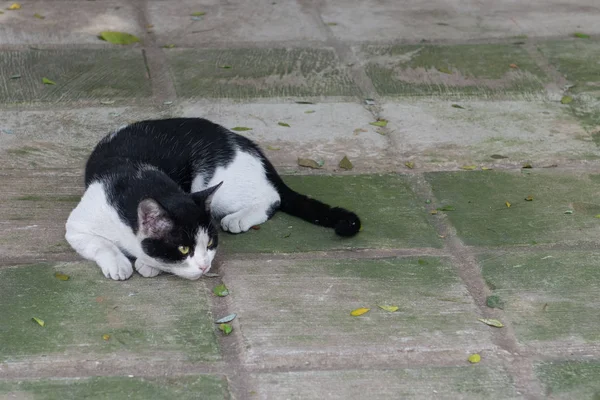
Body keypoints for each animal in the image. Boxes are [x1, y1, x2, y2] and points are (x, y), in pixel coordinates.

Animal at [64, 118, 360, 282]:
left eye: (210, 245)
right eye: (184, 249)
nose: (205, 266)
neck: (138, 177)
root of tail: (250, 147)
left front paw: (147, 264)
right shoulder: (77, 226)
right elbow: (101, 243)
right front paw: (119, 262)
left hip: (217, 185)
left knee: (271, 196)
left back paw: (239, 218)